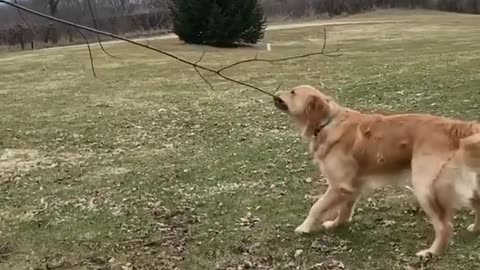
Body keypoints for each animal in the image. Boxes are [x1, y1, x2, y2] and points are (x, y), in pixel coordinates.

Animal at [274, 85, 480, 258]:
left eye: (292, 92)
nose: (275, 93)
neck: (327, 122)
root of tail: (457, 127)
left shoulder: (338, 185)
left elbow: (316, 207)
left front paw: (304, 227)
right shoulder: (351, 186)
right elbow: (344, 209)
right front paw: (336, 224)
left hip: (424, 187)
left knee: (445, 226)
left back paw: (431, 252)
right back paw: (475, 229)